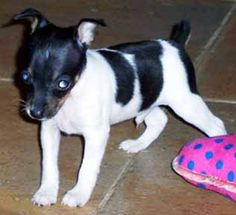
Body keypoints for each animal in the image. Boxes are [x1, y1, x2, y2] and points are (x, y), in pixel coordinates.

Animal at [12, 7, 227, 207]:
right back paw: (137, 145)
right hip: (144, 100)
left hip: (185, 103)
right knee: (159, 120)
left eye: (63, 83)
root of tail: (174, 44)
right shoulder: (49, 130)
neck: (72, 97)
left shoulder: (96, 135)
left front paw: (78, 194)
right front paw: (46, 192)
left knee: (216, 124)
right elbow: (48, 165)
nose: (35, 113)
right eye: (25, 77)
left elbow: (86, 167)